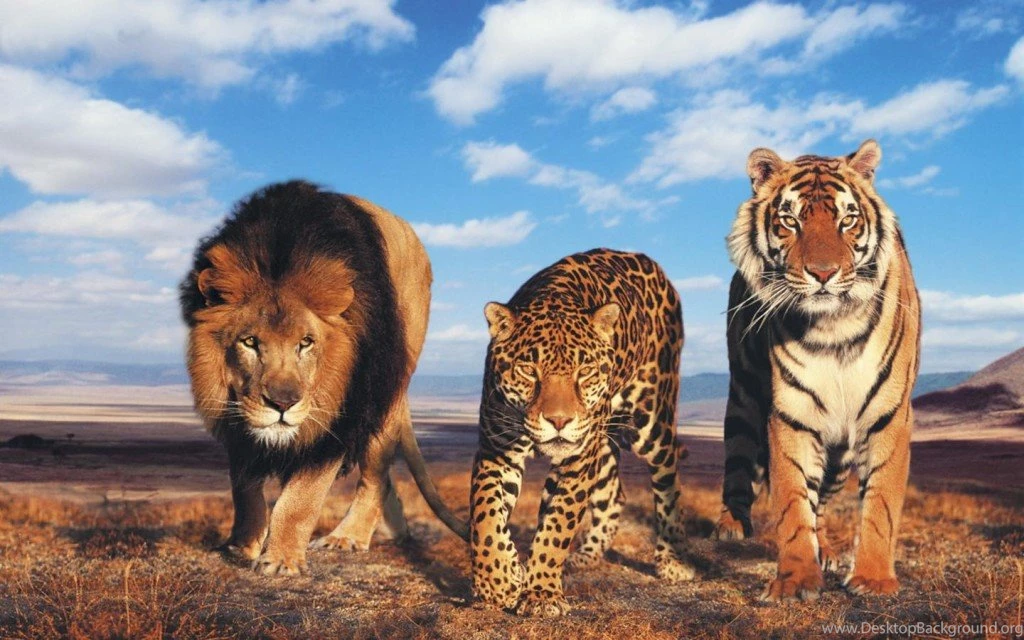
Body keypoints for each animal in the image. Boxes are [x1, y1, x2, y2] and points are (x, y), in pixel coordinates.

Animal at [179, 180, 468, 576]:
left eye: (306, 343)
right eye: (250, 342)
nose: (283, 404)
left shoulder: (339, 414)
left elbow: (301, 499)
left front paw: (281, 560)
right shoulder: (237, 415)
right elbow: (244, 489)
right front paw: (243, 545)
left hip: (390, 386)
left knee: (375, 476)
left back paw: (348, 536)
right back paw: (395, 529)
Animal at [470, 249, 693, 617]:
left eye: (585, 370)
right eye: (528, 370)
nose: (559, 421)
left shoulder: (577, 460)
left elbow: (558, 524)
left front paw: (541, 594)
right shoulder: (496, 450)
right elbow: (486, 515)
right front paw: (498, 580)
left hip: (651, 421)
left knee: (669, 479)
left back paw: (672, 561)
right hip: (601, 442)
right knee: (613, 495)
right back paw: (585, 556)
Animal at [715, 140, 921, 601]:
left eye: (848, 220)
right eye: (790, 221)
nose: (823, 273)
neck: (834, 328)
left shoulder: (889, 415)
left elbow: (880, 502)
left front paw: (873, 579)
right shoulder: (791, 414)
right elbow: (793, 502)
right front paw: (795, 581)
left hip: (840, 453)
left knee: (823, 501)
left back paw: (824, 549)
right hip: (743, 398)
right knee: (739, 461)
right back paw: (730, 526)